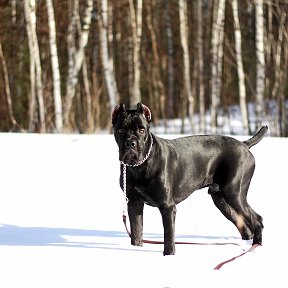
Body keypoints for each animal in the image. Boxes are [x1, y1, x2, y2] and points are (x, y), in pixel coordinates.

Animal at [111, 103, 266, 254]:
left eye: (141, 130)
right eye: (120, 130)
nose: (130, 143)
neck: (139, 166)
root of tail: (244, 144)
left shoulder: (167, 207)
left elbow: (168, 238)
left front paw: (168, 255)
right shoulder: (134, 203)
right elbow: (136, 234)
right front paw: (135, 250)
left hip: (234, 193)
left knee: (257, 219)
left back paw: (256, 246)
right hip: (221, 198)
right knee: (242, 223)